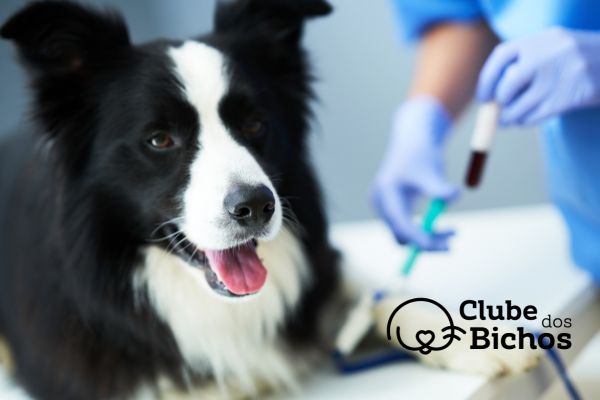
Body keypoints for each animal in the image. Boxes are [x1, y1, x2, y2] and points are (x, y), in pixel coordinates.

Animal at [0, 0, 540, 400]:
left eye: (256, 124)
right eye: (159, 139)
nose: (256, 206)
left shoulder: (321, 265)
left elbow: (376, 295)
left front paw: (472, 337)